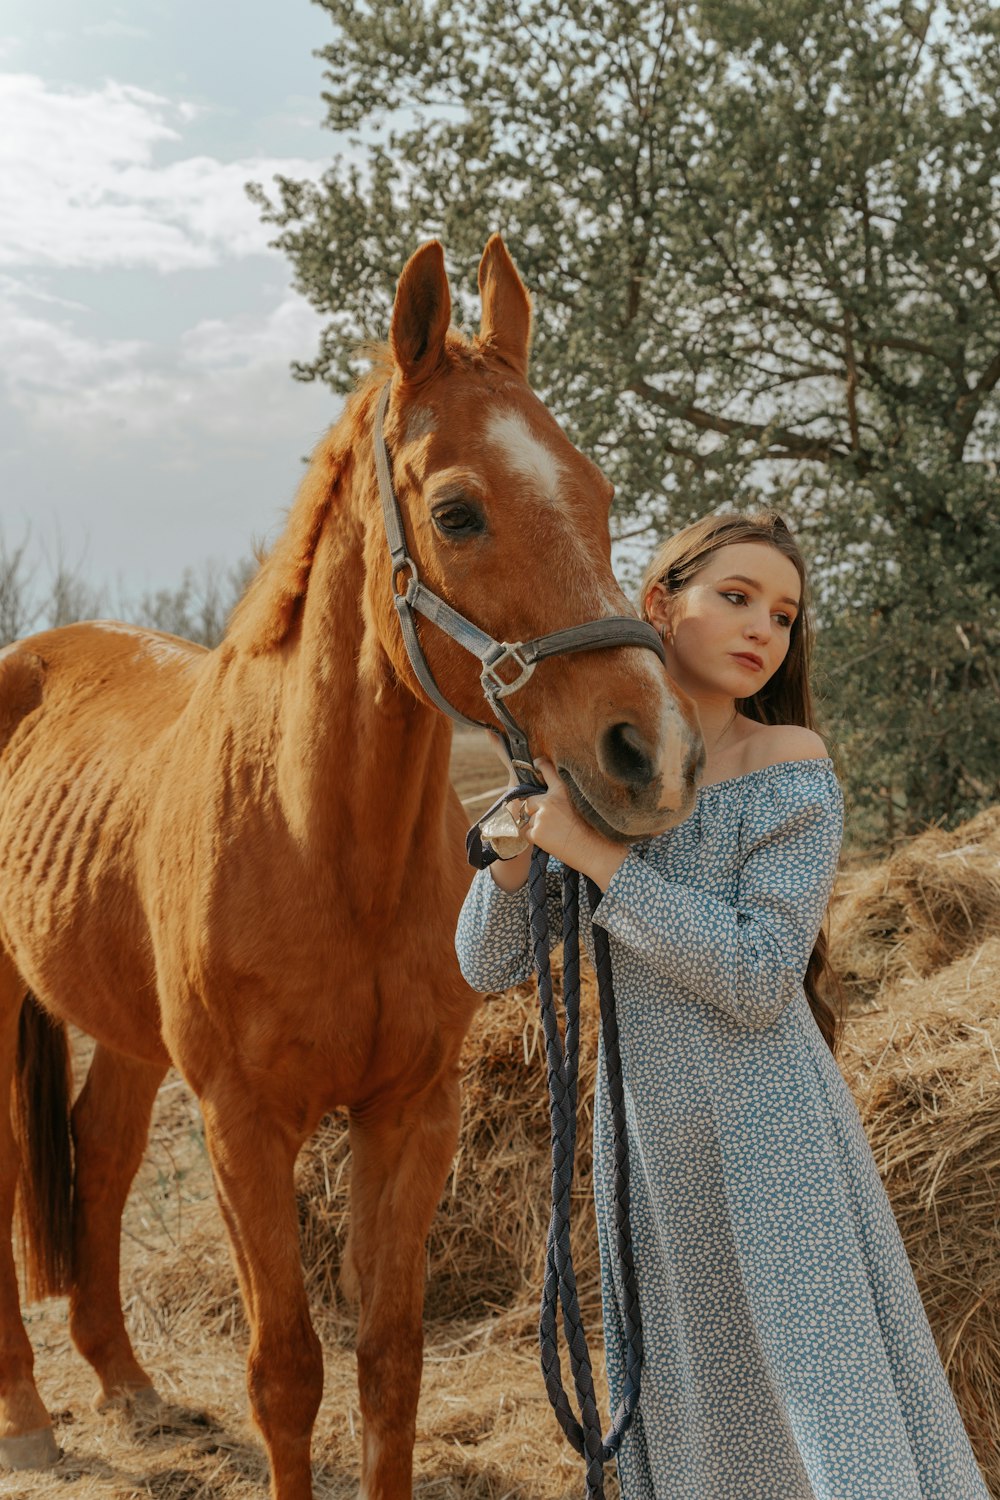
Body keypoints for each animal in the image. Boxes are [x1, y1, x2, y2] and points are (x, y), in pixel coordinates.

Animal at [0, 237, 704, 1500]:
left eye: (596, 492)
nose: (654, 755)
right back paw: (29, 1413)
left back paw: (129, 1386)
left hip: (129, 1035)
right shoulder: (243, 1127)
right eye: (458, 511)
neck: (321, 843)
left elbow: (387, 1360)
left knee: (103, 1156)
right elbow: (286, 1373)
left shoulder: (408, 1115)